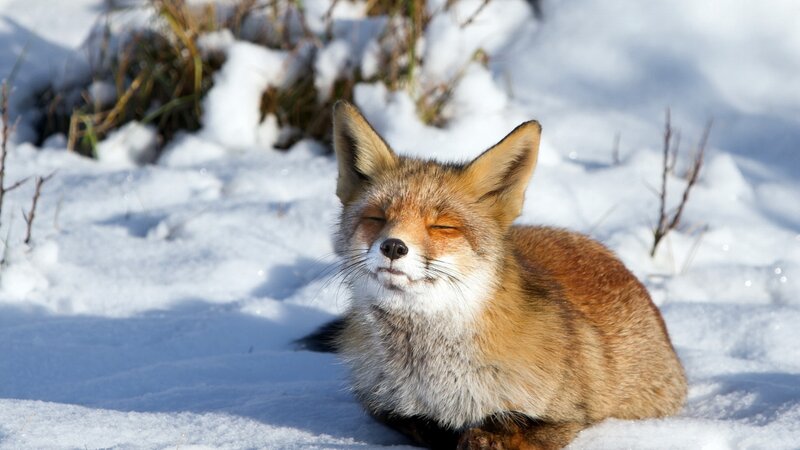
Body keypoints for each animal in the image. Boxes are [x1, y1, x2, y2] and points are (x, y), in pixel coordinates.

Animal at [301, 101, 687, 449]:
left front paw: (486, 435)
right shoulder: (382, 405)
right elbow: (422, 425)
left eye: (442, 226)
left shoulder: (571, 414)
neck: (431, 375)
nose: (393, 247)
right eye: (377, 218)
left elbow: (516, 428)